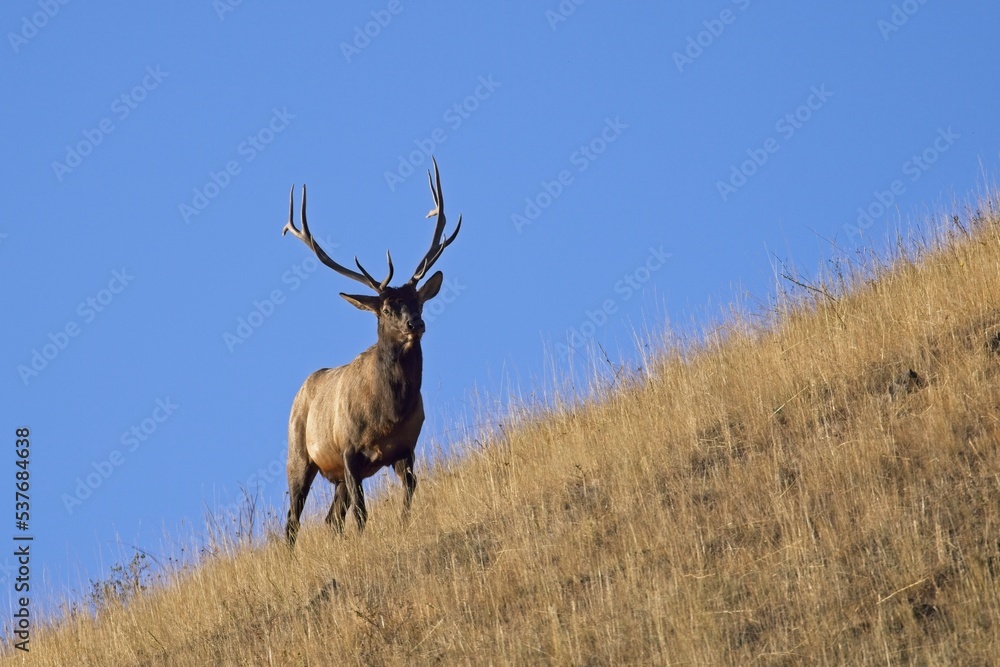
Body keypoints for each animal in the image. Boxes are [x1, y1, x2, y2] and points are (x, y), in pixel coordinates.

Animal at [282, 159, 460, 544]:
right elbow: (362, 514)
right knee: (291, 522)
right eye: (388, 309)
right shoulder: (348, 450)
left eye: (418, 302)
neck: (388, 413)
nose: (415, 325)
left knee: (331, 518)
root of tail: (302, 389)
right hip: (298, 455)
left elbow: (407, 498)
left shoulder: (407, 447)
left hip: (336, 474)